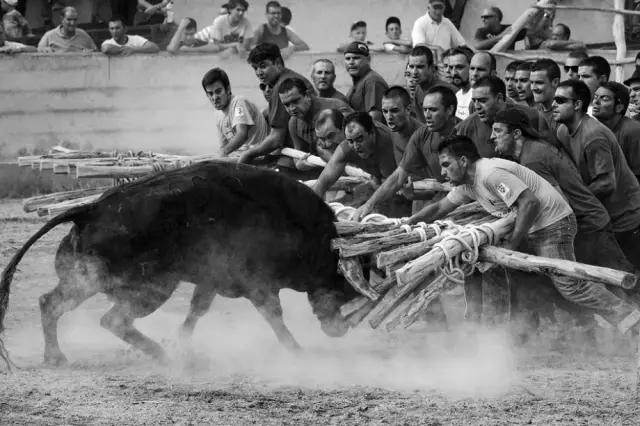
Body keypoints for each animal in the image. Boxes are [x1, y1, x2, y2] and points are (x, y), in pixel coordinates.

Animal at [0, 161, 358, 366]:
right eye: (339, 282)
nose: (341, 329)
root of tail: (90, 209)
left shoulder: (212, 279)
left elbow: (197, 310)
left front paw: (183, 343)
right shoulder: (256, 283)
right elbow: (273, 314)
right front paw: (296, 350)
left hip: (85, 281)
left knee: (51, 303)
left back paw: (56, 357)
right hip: (152, 287)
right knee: (112, 319)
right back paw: (161, 355)